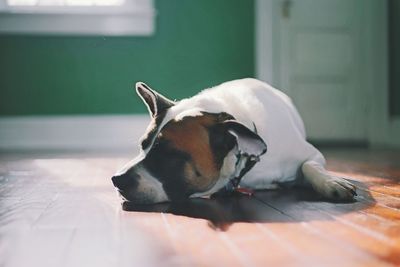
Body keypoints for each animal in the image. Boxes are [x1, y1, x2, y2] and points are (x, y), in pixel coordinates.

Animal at [111, 78, 356, 204]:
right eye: (142, 146)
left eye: (168, 155)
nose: (116, 179)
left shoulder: (311, 154)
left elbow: (310, 165)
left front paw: (331, 182)